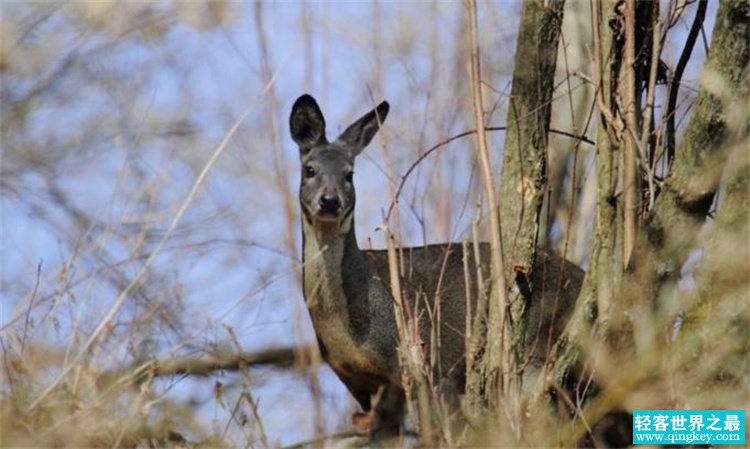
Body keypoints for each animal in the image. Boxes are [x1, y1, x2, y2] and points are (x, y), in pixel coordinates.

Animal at [290, 93, 588, 440]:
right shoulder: (361, 387)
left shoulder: (427, 366)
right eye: (310, 169)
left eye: (349, 174)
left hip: (537, 344)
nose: (329, 200)